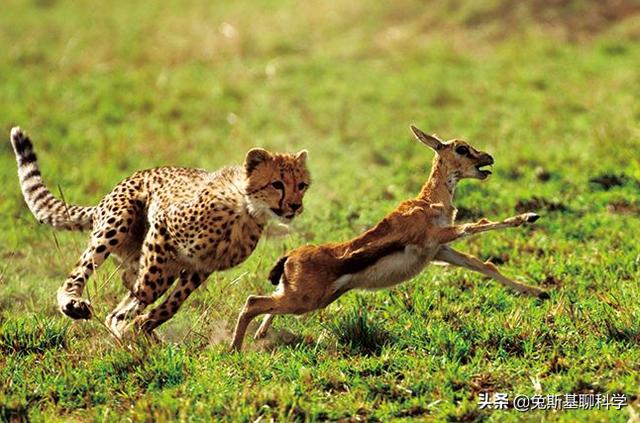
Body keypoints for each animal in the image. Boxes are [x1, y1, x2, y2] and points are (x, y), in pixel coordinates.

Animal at [10, 127, 310, 340]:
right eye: (277, 184)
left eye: (302, 185)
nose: (295, 206)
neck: (245, 210)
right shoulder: (162, 228)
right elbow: (145, 291)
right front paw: (131, 323)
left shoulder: (201, 266)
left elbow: (171, 304)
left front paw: (143, 325)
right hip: (117, 223)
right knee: (80, 276)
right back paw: (76, 305)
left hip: (157, 259)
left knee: (128, 289)